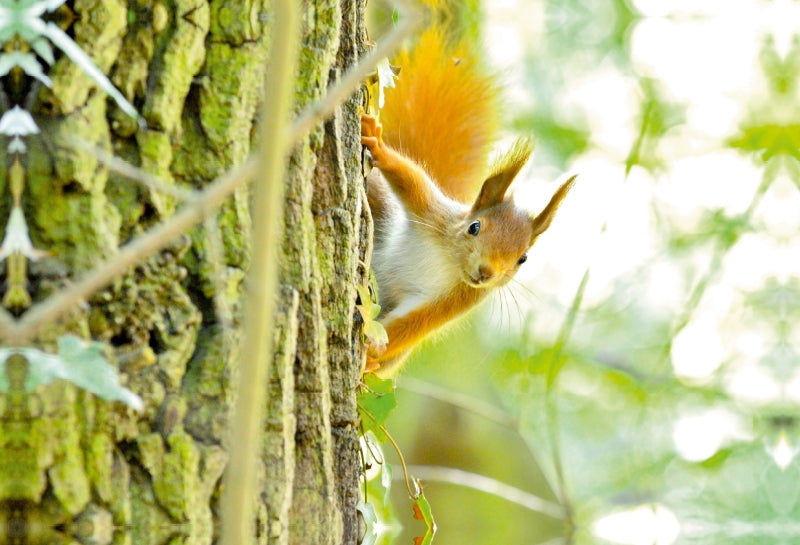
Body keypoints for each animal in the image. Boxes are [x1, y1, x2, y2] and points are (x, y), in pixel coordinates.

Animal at [361, 24, 576, 377]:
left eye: (523, 258)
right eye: (474, 227)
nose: (486, 272)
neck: (450, 263)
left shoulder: (460, 299)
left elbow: (412, 326)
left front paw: (369, 353)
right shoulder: (433, 213)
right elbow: (410, 178)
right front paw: (377, 145)